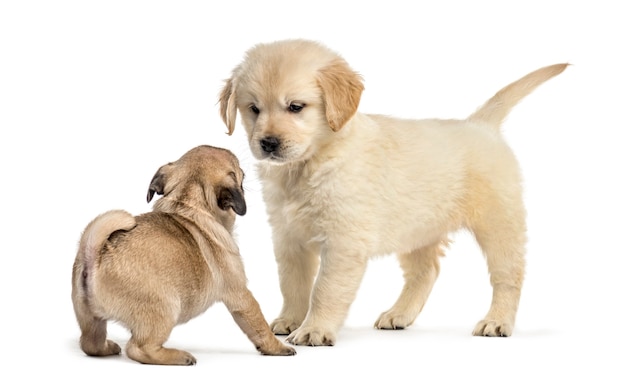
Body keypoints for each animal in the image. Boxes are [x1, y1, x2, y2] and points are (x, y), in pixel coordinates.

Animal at [70, 145, 294, 366]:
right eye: (240, 173)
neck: (187, 202)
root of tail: (96, 256)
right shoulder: (239, 293)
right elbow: (258, 324)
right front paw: (277, 347)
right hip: (165, 308)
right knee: (139, 348)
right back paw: (179, 356)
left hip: (89, 318)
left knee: (90, 344)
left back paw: (107, 347)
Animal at [217, 38, 568, 346]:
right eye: (254, 109)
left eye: (295, 107)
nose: (268, 143)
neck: (309, 164)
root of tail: (480, 125)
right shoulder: (289, 237)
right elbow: (292, 284)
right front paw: (290, 319)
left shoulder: (343, 241)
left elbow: (325, 289)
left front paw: (314, 329)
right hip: (418, 228)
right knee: (426, 272)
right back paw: (399, 314)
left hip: (498, 224)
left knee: (508, 276)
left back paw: (497, 321)